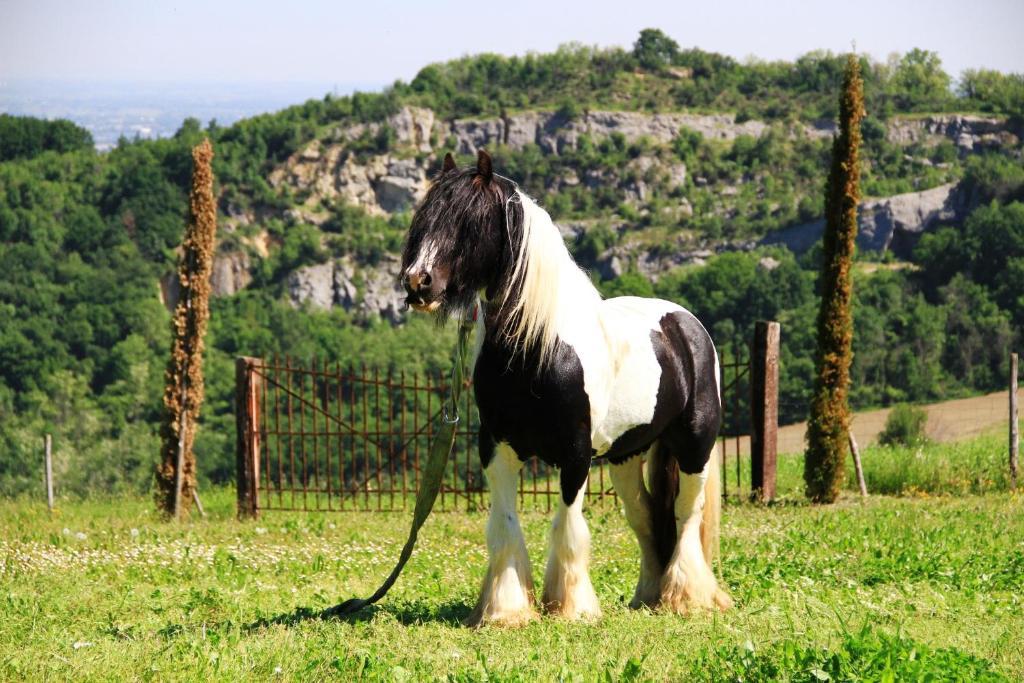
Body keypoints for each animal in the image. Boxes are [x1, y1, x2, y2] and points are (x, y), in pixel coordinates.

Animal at [397, 150, 729, 630]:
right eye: (424, 219)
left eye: (470, 221)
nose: (417, 283)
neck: (539, 349)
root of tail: (685, 325)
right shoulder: (497, 450)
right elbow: (505, 527)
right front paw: (505, 610)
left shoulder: (575, 457)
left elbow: (567, 529)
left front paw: (572, 608)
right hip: (626, 457)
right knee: (646, 517)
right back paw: (649, 597)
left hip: (694, 447)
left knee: (686, 516)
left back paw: (688, 598)